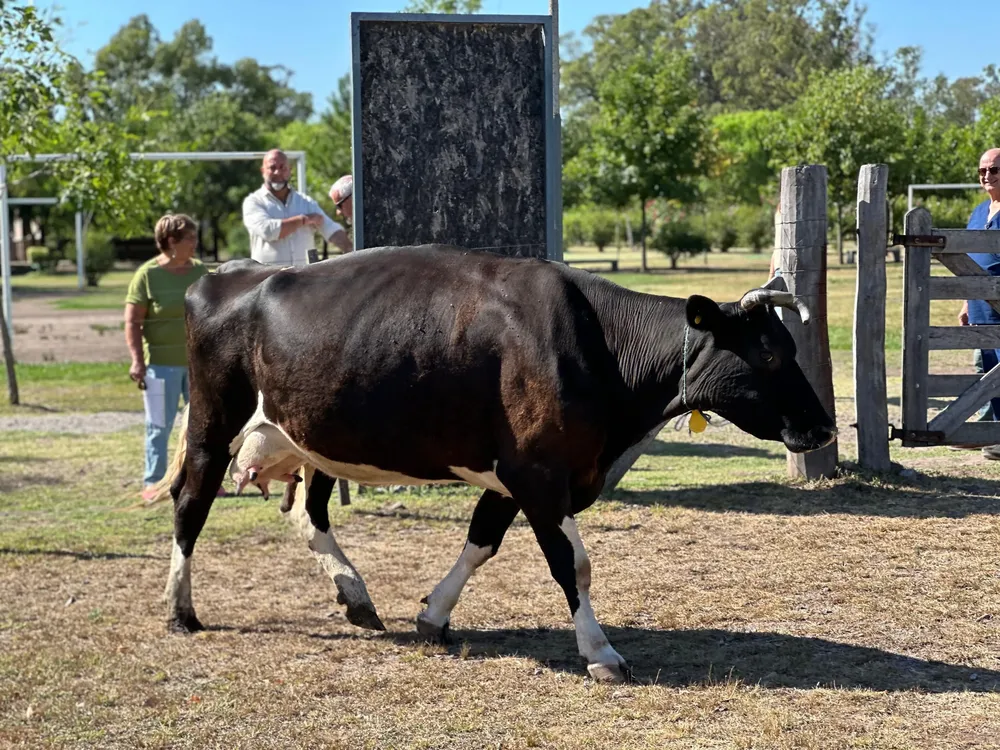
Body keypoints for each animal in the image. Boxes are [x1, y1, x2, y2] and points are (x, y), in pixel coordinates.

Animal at [160, 245, 835, 683]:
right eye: (769, 355)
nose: (825, 427)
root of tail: (232, 273)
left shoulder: (518, 475)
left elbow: (481, 540)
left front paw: (433, 615)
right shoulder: (539, 472)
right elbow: (573, 563)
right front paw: (600, 652)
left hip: (313, 437)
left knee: (309, 512)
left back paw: (356, 596)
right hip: (213, 423)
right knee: (190, 505)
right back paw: (180, 610)